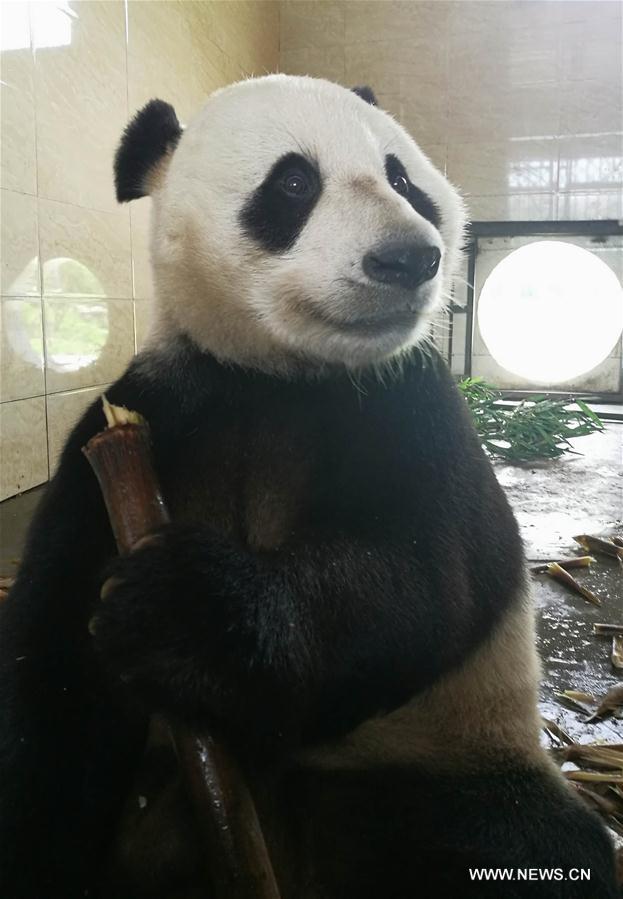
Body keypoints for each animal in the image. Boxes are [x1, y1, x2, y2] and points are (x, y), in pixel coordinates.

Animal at [0, 75, 618, 899]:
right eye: (294, 183)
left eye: (401, 180)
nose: (409, 258)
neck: (277, 373)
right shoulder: (138, 422)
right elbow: (55, 666)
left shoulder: (407, 403)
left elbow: (424, 575)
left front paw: (186, 611)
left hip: (433, 758)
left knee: (520, 837)